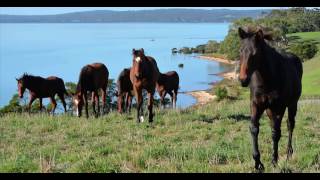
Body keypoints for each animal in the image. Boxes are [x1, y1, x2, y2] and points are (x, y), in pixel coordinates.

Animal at [239, 26, 304, 170]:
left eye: (255, 53)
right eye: (240, 51)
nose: (242, 80)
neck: (266, 79)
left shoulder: (278, 107)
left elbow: (275, 133)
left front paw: (274, 160)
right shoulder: (256, 105)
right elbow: (254, 129)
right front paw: (258, 163)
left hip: (292, 104)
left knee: (290, 124)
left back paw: (289, 152)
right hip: (269, 110)